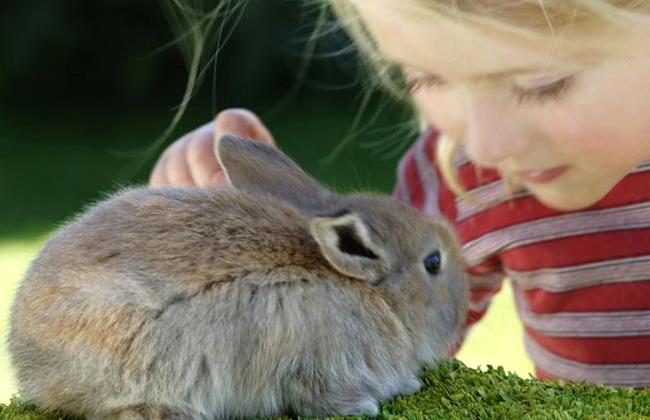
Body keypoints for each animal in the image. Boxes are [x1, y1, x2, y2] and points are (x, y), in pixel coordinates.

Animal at [9, 135, 468, 419]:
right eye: (433, 262)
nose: (462, 305)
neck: (371, 295)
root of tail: (27, 359)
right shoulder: (317, 365)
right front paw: (367, 405)